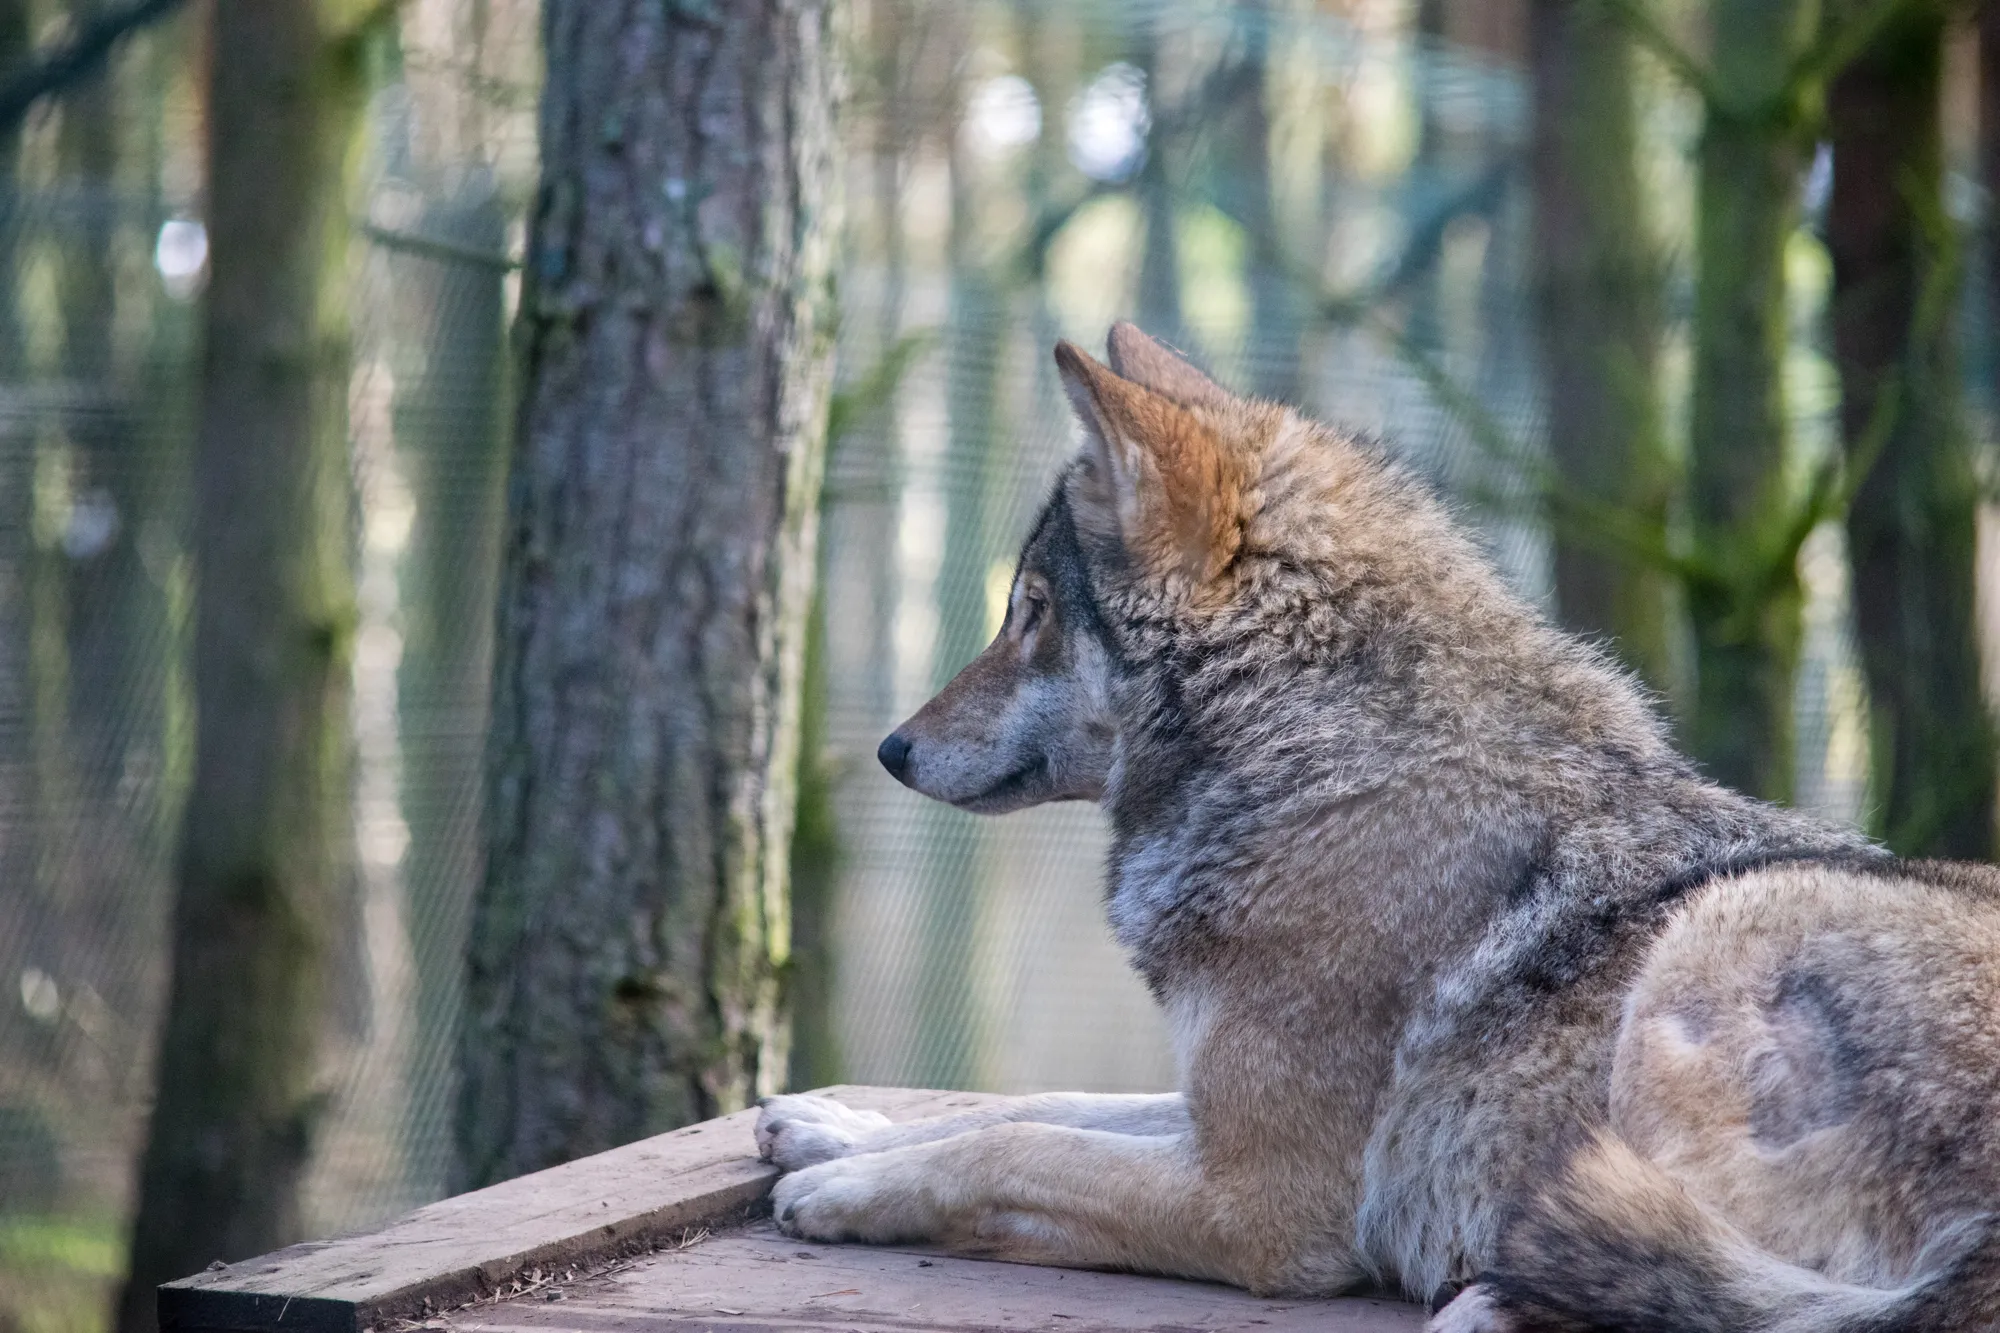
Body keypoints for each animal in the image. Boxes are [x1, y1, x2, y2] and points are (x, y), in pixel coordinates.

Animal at [754, 324, 2000, 1331]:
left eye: (1030, 612)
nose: (890, 748)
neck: (1317, 765)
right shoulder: (1212, 1111)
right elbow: (1046, 1104)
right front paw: (824, 1127)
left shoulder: (1263, 1203)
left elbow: (1009, 1140)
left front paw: (838, 1190)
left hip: (1719, 933)